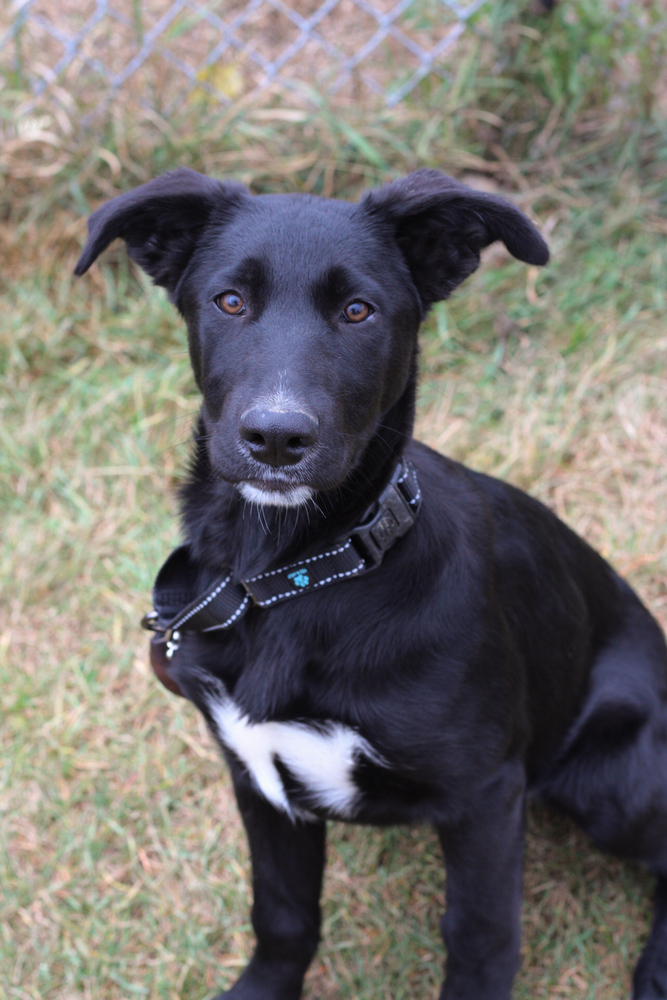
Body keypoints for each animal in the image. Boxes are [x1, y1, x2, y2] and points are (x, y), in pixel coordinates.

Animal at [74, 168, 667, 996]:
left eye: (359, 310)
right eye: (230, 301)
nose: (276, 438)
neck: (292, 577)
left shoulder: (485, 796)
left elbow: (479, 936)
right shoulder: (257, 776)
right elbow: (282, 912)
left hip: (612, 780)